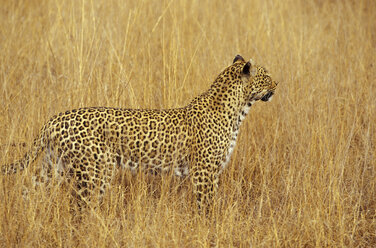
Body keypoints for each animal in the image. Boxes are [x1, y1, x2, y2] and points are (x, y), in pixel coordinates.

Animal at [1, 55, 278, 210]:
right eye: (265, 76)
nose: (277, 83)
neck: (238, 110)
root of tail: (53, 120)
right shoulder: (204, 172)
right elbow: (205, 204)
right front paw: (208, 227)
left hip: (54, 166)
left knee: (27, 190)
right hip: (96, 170)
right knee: (80, 205)